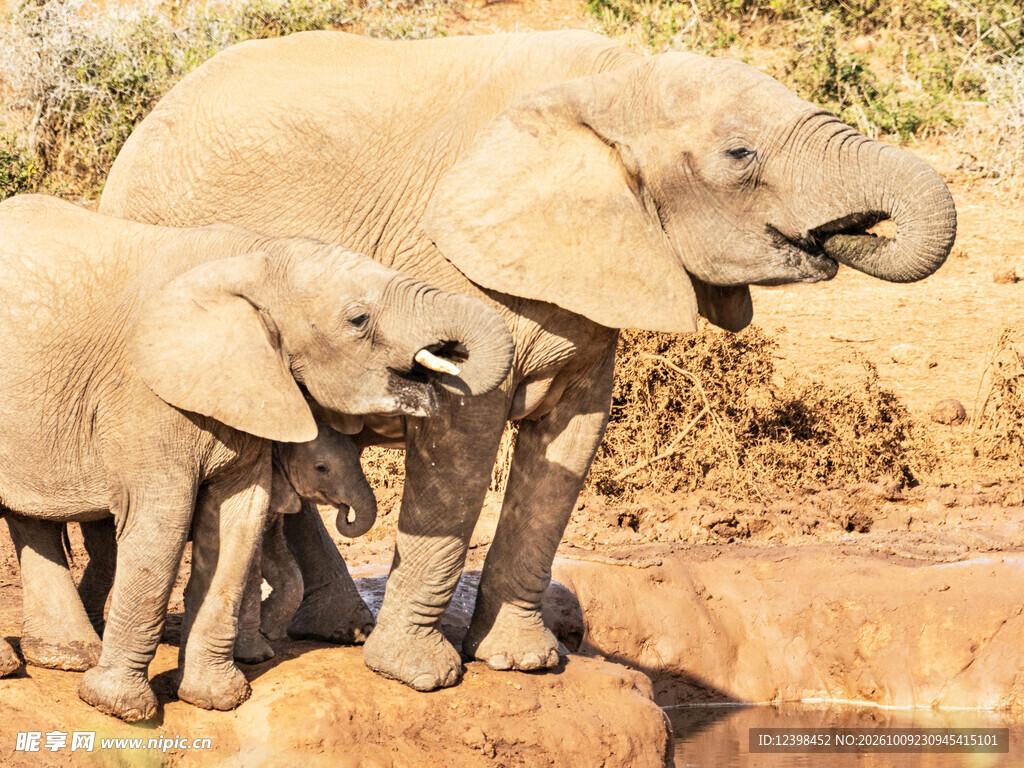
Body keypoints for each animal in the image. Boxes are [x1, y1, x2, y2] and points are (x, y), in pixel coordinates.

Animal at [0, 194, 513, 720]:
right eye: (358, 320)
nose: (448, 360)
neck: (258, 259)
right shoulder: (143, 394)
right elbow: (161, 521)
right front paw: (119, 708)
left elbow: (238, 521)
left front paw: (215, 698)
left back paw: (65, 656)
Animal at [99, 30, 957, 692]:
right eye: (740, 153)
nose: (845, 234)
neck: (613, 86)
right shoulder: (454, 263)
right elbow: (461, 440)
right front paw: (422, 676)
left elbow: (568, 447)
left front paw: (524, 664)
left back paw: (339, 628)